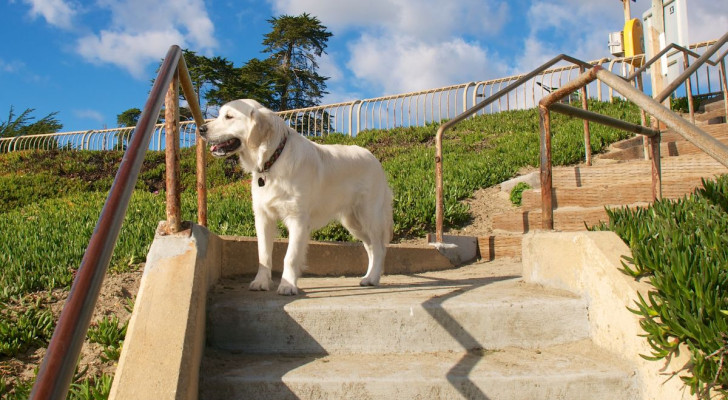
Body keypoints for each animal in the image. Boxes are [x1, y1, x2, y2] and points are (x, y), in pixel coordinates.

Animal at [199, 99, 392, 294]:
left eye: (229, 116)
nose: (201, 129)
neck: (272, 160)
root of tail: (373, 157)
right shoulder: (263, 217)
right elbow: (263, 255)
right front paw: (261, 282)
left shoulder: (297, 219)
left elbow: (290, 257)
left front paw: (287, 285)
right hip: (353, 222)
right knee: (370, 247)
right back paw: (369, 276)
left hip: (369, 215)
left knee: (379, 247)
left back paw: (373, 278)